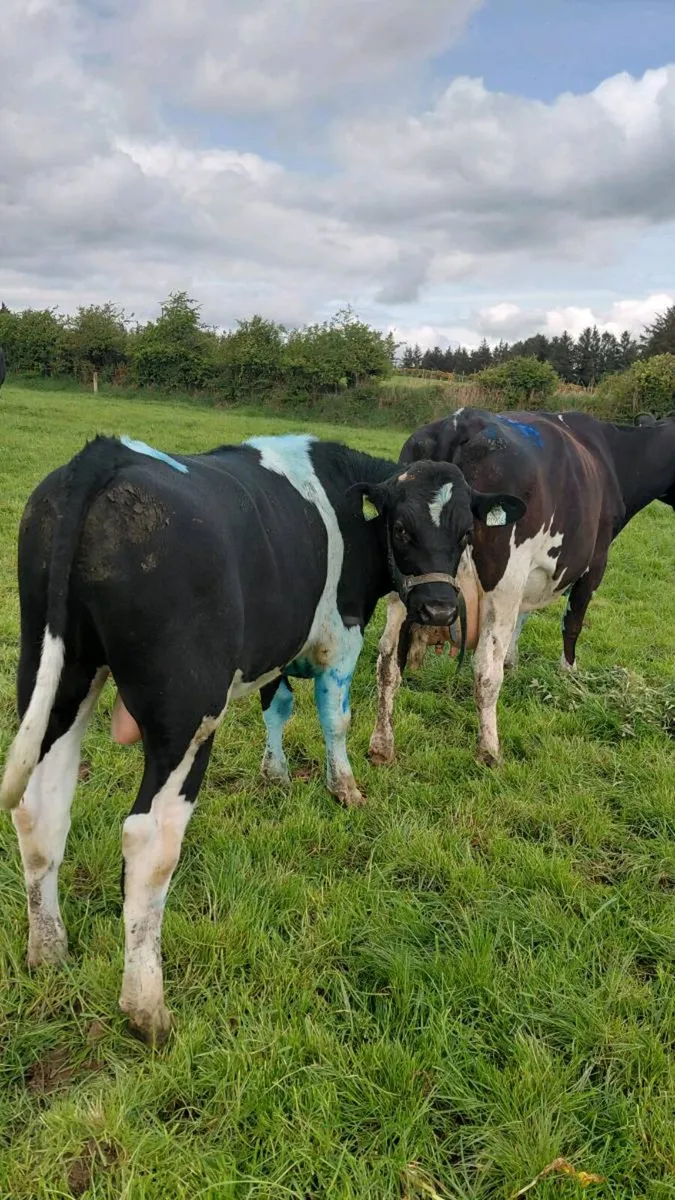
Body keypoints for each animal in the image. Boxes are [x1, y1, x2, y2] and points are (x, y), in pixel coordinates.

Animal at [1, 431, 512, 1043]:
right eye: (402, 529)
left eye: (464, 534)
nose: (438, 608)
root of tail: (106, 454)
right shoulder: (341, 637)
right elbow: (334, 718)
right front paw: (344, 787)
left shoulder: (277, 651)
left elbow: (279, 706)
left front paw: (277, 775)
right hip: (187, 713)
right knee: (149, 840)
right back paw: (147, 1007)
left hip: (58, 676)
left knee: (41, 810)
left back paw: (48, 952)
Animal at [367, 407, 675, 769]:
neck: (613, 458)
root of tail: (460, 422)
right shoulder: (594, 565)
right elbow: (572, 623)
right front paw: (568, 673)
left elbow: (523, 620)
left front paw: (513, 664)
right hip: (503, 582)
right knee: (485, 670)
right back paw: (489, 751)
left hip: (403, 584)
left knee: (388, 661)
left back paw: (382, 746)